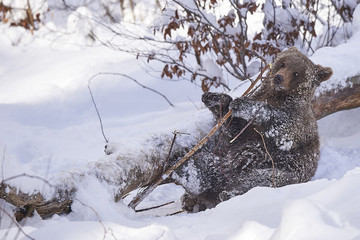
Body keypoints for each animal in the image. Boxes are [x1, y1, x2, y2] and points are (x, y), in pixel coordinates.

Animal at [171, 46, 332, 211]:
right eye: (283, 63)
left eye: (297, 73)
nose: (278, 78)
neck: (276, 95)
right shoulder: (245, 131)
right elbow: (234, 130)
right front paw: (216, 99)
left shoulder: (299, 121)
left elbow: (284, 129)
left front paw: (244, 105)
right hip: (225, 158)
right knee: (210, 162)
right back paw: (189, 173)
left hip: (278, 168)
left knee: (260, 180)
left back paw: (227, 192)